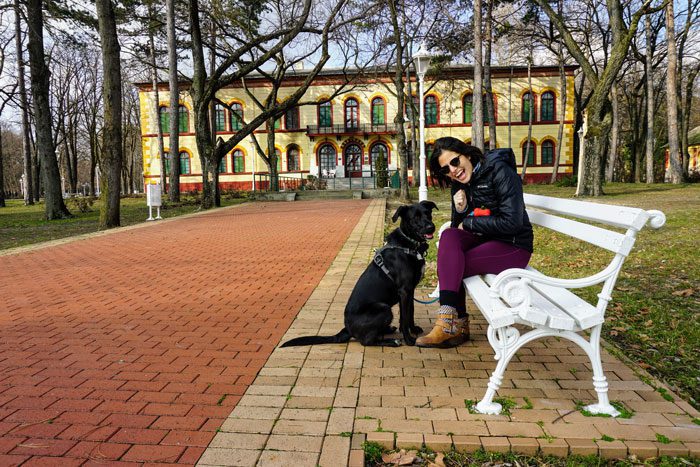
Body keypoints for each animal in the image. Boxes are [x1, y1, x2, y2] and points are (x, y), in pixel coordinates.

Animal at [280, 201, 438, 348]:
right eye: (415, 217)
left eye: (428, 213)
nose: (431, 227)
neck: (409, 245)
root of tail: (347, 329)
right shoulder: (404, 291)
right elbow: (404, 318)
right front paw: (409, 340)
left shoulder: (410, 290)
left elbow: (410, 312)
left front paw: (413, 329)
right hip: (384, 308)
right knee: (366, 341)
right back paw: (391, 341)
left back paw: (388, 330)